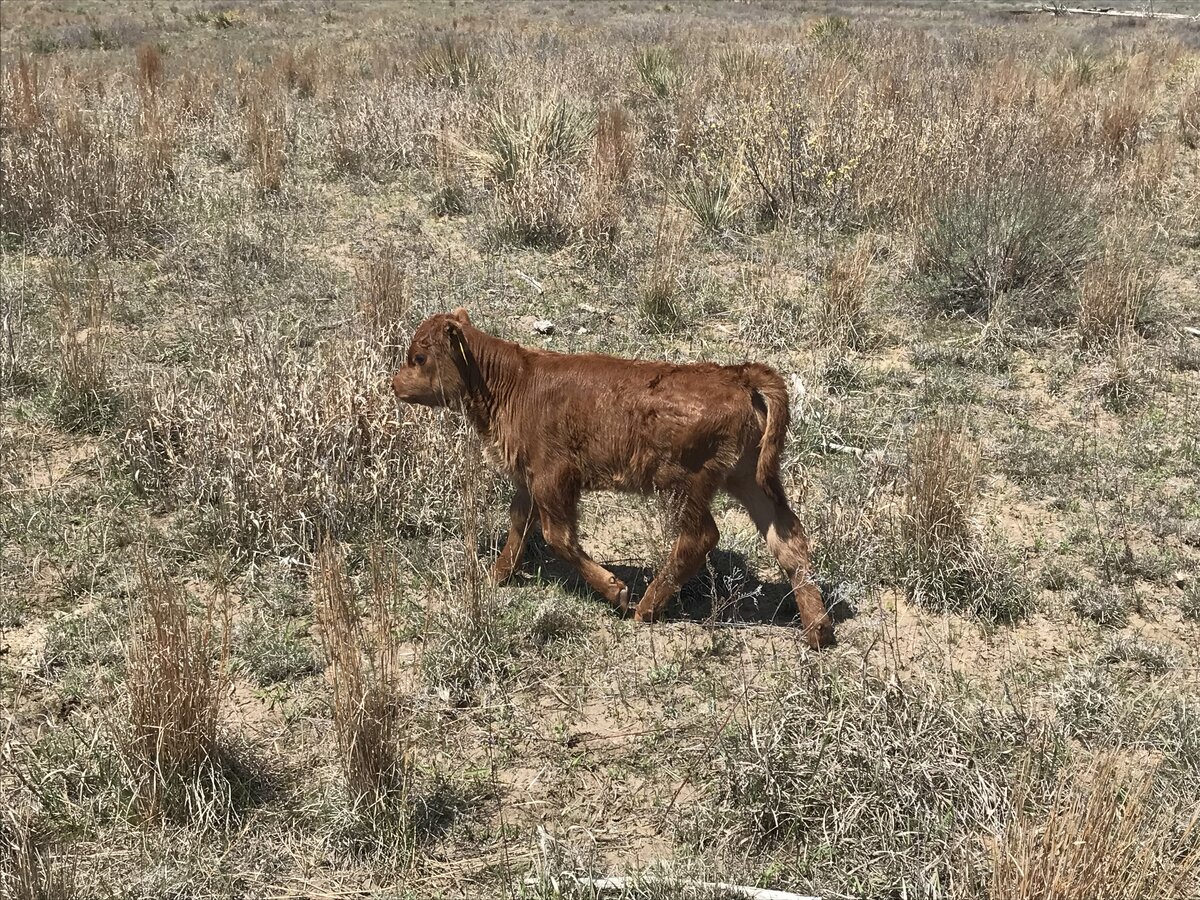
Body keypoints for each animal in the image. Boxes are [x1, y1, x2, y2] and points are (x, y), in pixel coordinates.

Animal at [391, 308, 834, 649]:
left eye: (419, 356)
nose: (394, 384)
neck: (514, 381)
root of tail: (737, 375)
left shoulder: (553, 479)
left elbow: (558, 537)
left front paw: (615, 589)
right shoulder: (529, 481)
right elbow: (518, 526)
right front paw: (497, 575)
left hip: (685, 485)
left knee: (700, 537)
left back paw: (645, 607)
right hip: (748, 480)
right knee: (787, 537)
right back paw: (818, 630)